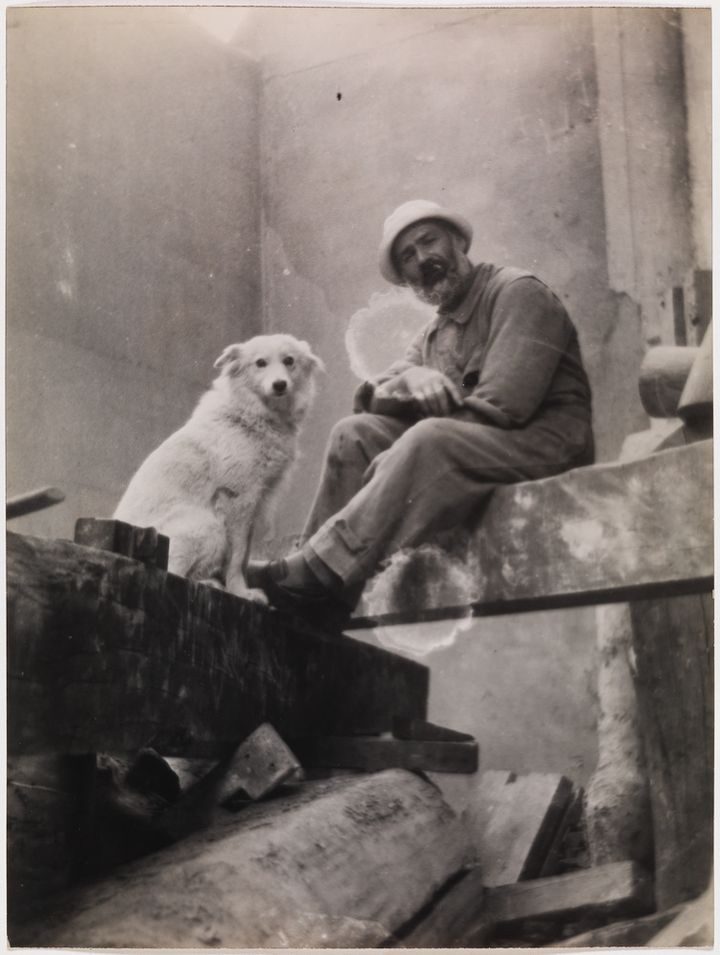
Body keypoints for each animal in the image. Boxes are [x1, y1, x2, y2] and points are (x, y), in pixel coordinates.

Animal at [114, 334, 324, 596]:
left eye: (289, 361)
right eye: (260, 363)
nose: (279, 385)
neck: (248, 415)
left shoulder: (255, 504)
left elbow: (244, 555)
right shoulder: (238, 499)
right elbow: (236, 557)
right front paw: (240, 591)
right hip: (208, 525)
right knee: (171, 574)